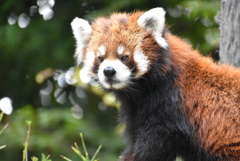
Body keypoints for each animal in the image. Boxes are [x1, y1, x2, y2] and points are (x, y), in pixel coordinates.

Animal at [70, 6, 240, 160]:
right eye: (100, 58)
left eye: (125, 57)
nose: (109, 71)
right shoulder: (135, 111)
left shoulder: (171, 107)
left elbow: (154, 144)